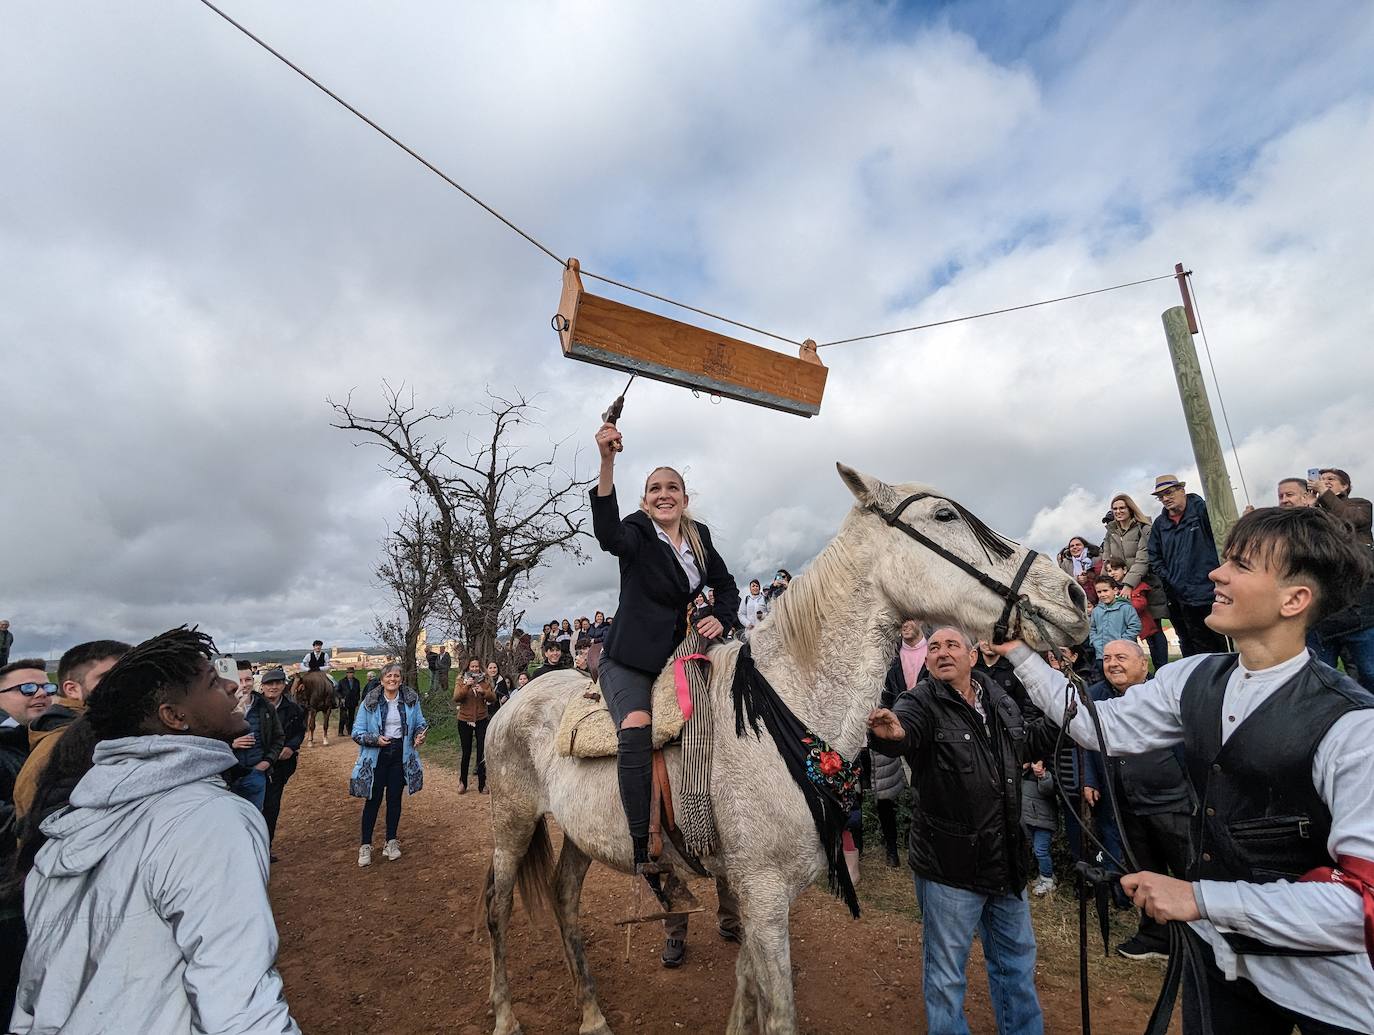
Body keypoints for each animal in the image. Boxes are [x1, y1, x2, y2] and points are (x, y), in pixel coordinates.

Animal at [478, 464, 1088, 1028]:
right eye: (944, 516)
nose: (1074, 594)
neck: (787, 707)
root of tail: (512, 698)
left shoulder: (764, 896)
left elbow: (747, 991)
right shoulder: (765, 893)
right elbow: (778, 1013)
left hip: (580, 834)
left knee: (563, 899)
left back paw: (592, 1015)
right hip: (511, 823)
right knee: (498, 909)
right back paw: (505, 1014)